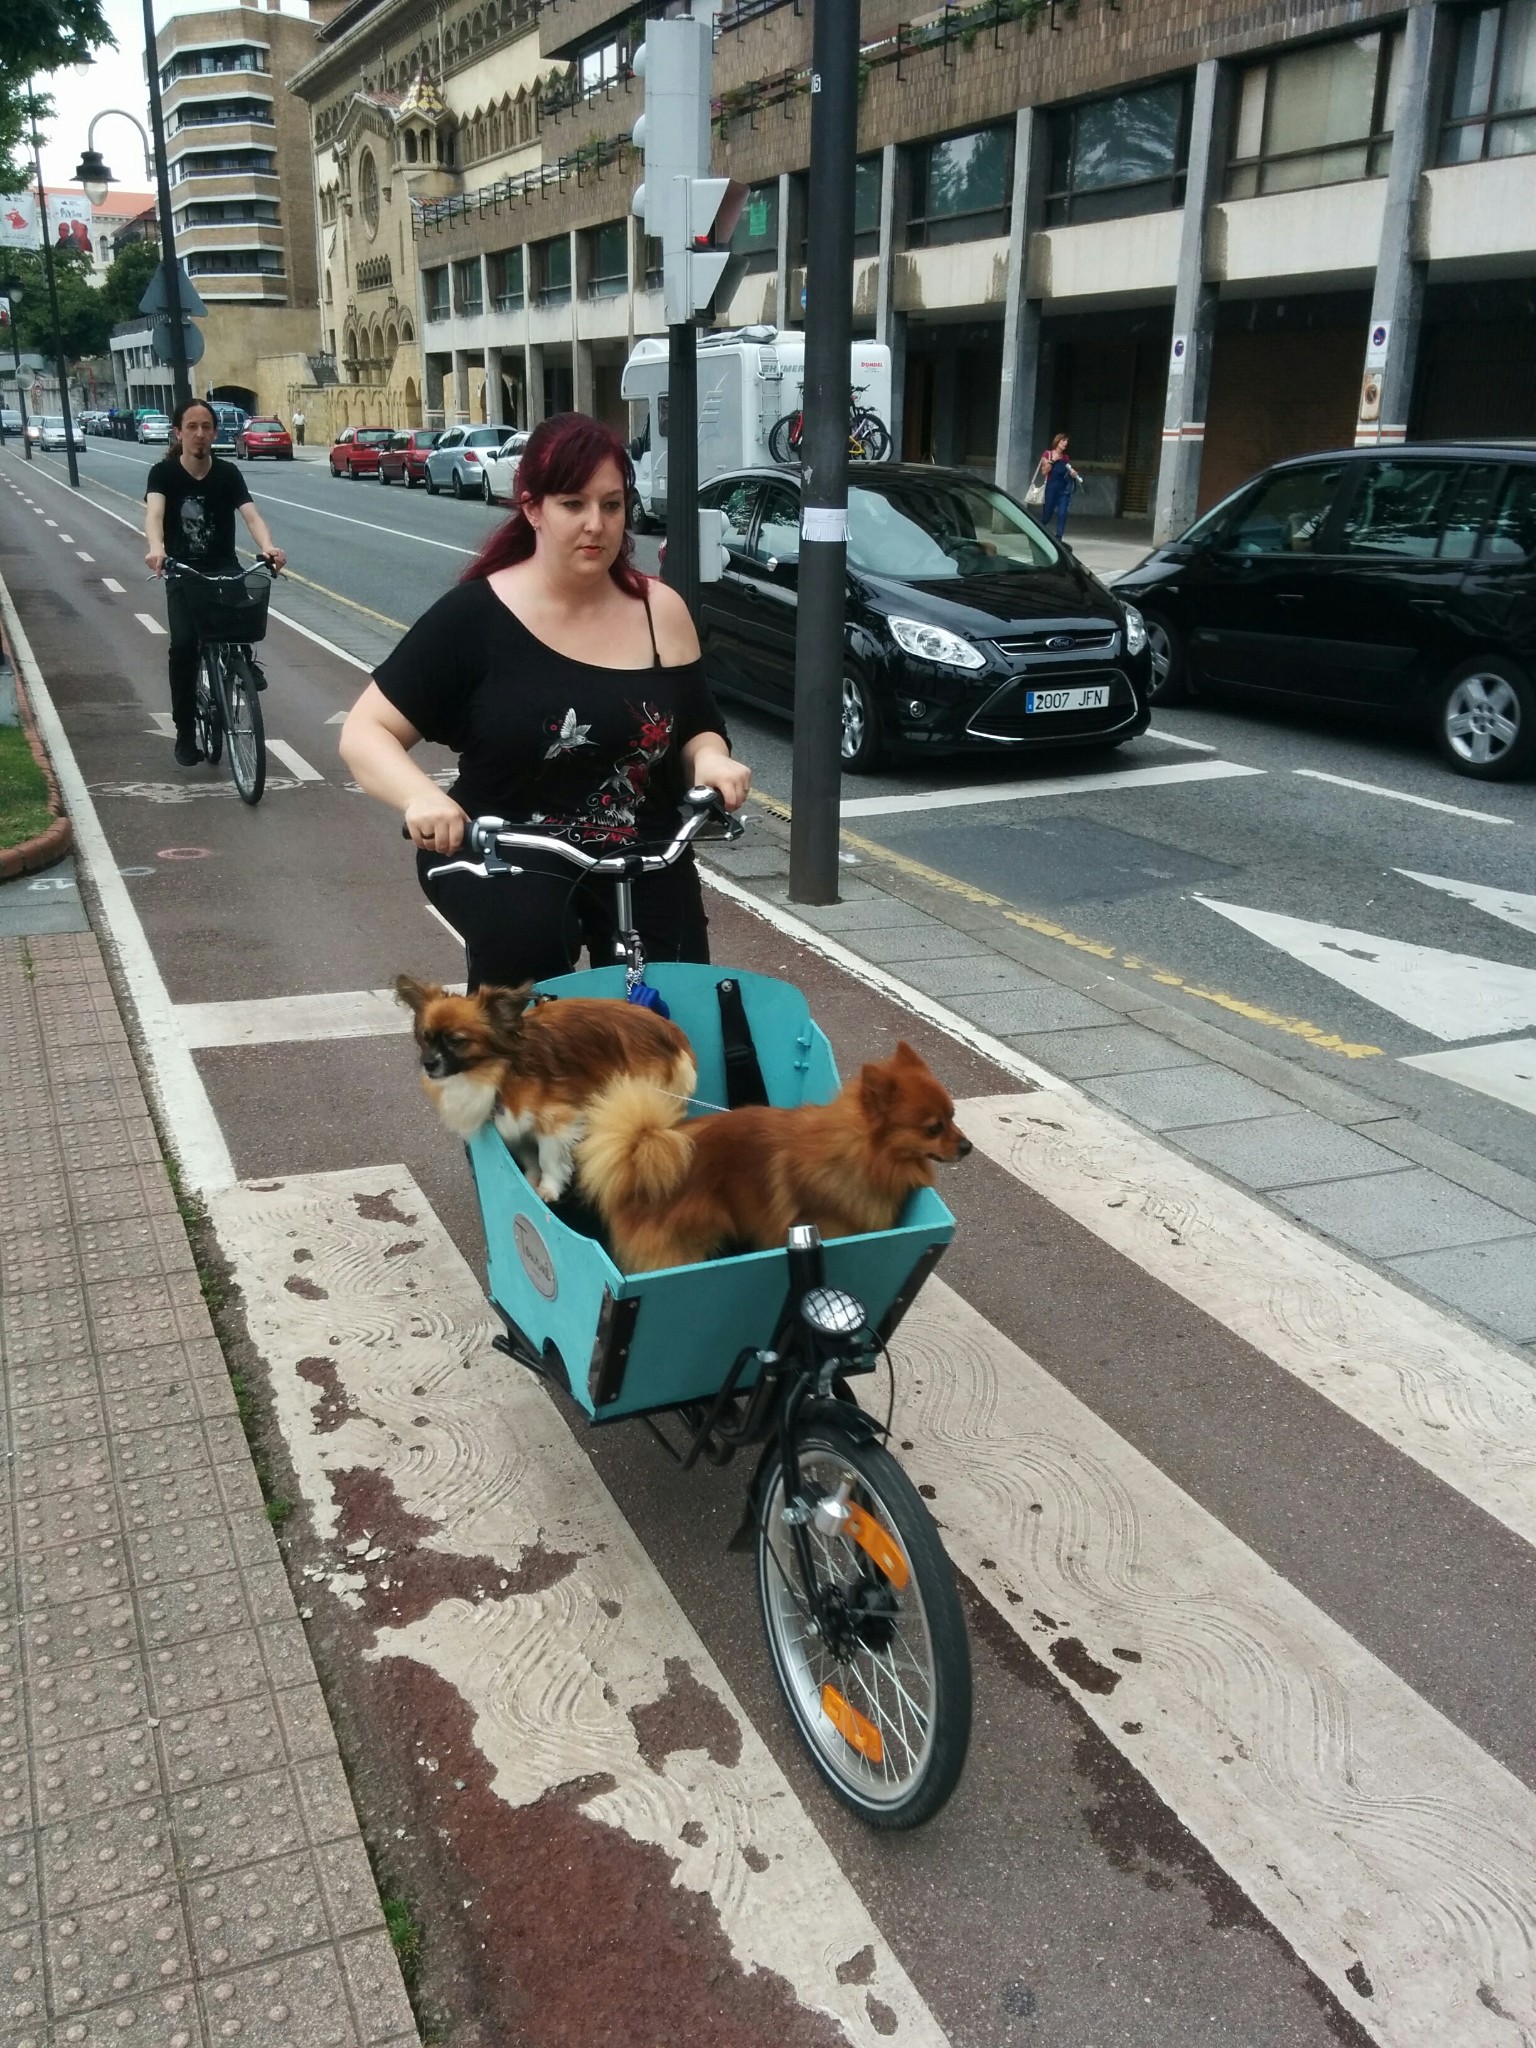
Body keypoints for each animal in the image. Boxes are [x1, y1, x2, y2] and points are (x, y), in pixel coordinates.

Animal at [394, 975, 697, 1204]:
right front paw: (528, 1182)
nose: (428, 1063)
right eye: (426, 1038)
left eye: (456, 1041)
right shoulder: (515, 1128)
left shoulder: (556, 1121)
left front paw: (549, 1189)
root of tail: (670, 1031)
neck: (498, 1072)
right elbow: (530, 1159)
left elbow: (548, 1158)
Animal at [576, 1039, 971, 1273]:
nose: (967, 1146)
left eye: (954, 1116)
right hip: (683, 1247)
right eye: (933, 1128)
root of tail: (636, 1156)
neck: (858, 1155)